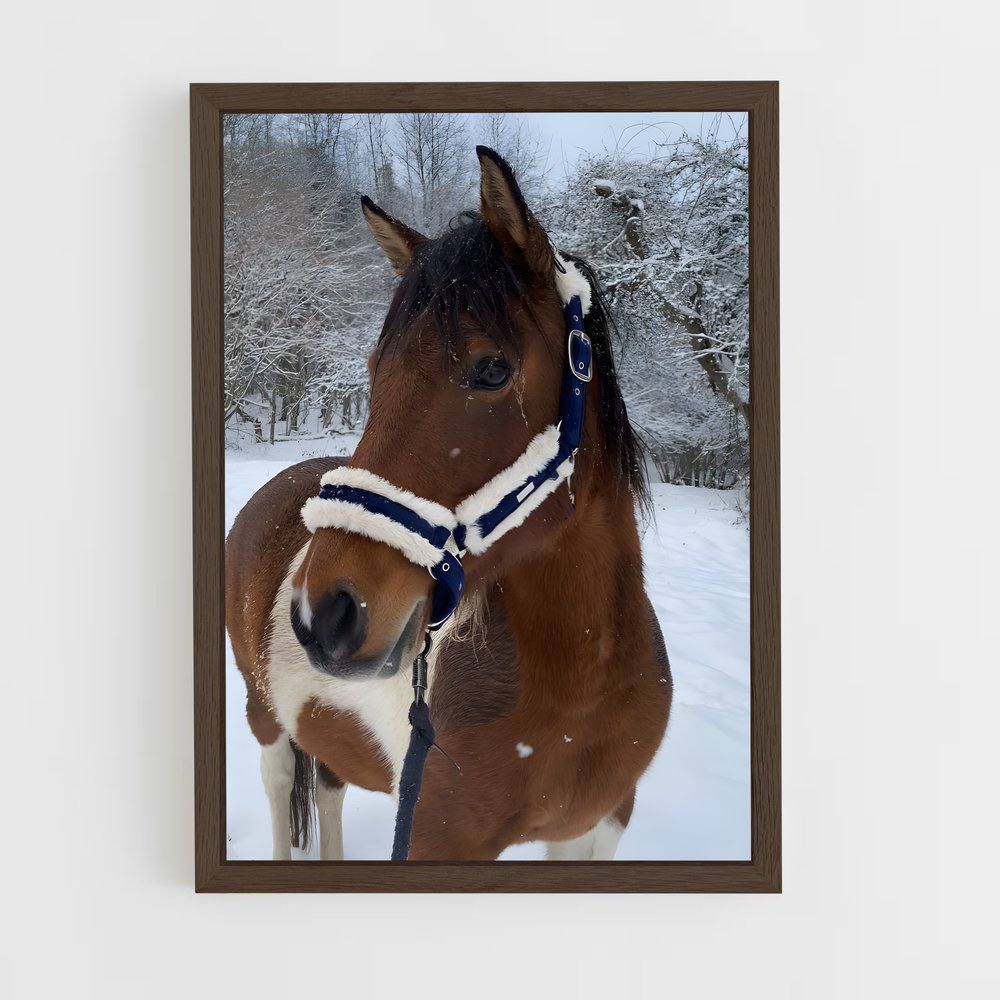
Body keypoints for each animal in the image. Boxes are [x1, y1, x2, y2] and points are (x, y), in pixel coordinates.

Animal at [225, 146, 672, 861]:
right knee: (280, 789)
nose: (324, 614)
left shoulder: (600, 824)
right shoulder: (439, 837)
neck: (583, 681)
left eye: (492, 370)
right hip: (264, 717)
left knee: (328, 790)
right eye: (375, 370)